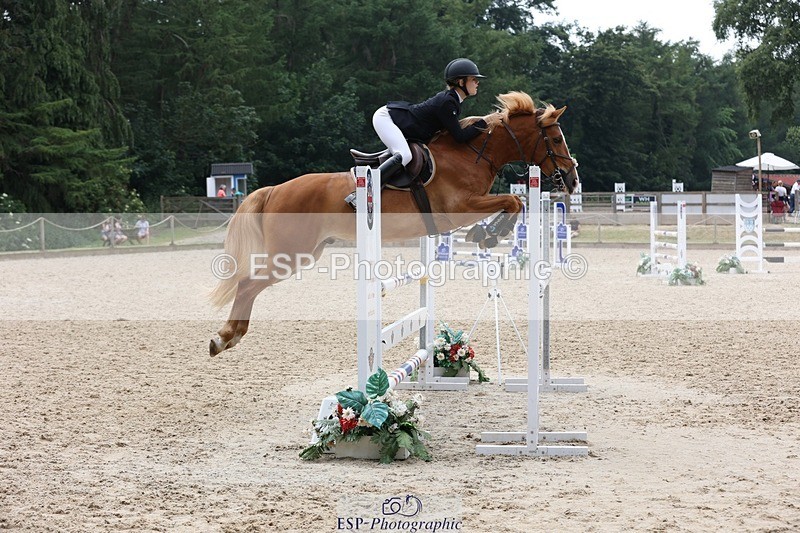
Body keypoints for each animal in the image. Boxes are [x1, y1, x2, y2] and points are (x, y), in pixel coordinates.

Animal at [209, 91, 578, 356]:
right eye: (556, 139)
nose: (572, 180)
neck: (472, 152)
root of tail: (275, 190)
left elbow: (513, 203)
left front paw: (486, 234)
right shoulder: (460, 207)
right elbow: (513, 201)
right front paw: (487, 235)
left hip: (306, 253)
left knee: (251, 285)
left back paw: (231, 336)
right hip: (289, 253)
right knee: (247, 284)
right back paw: (225, 337)